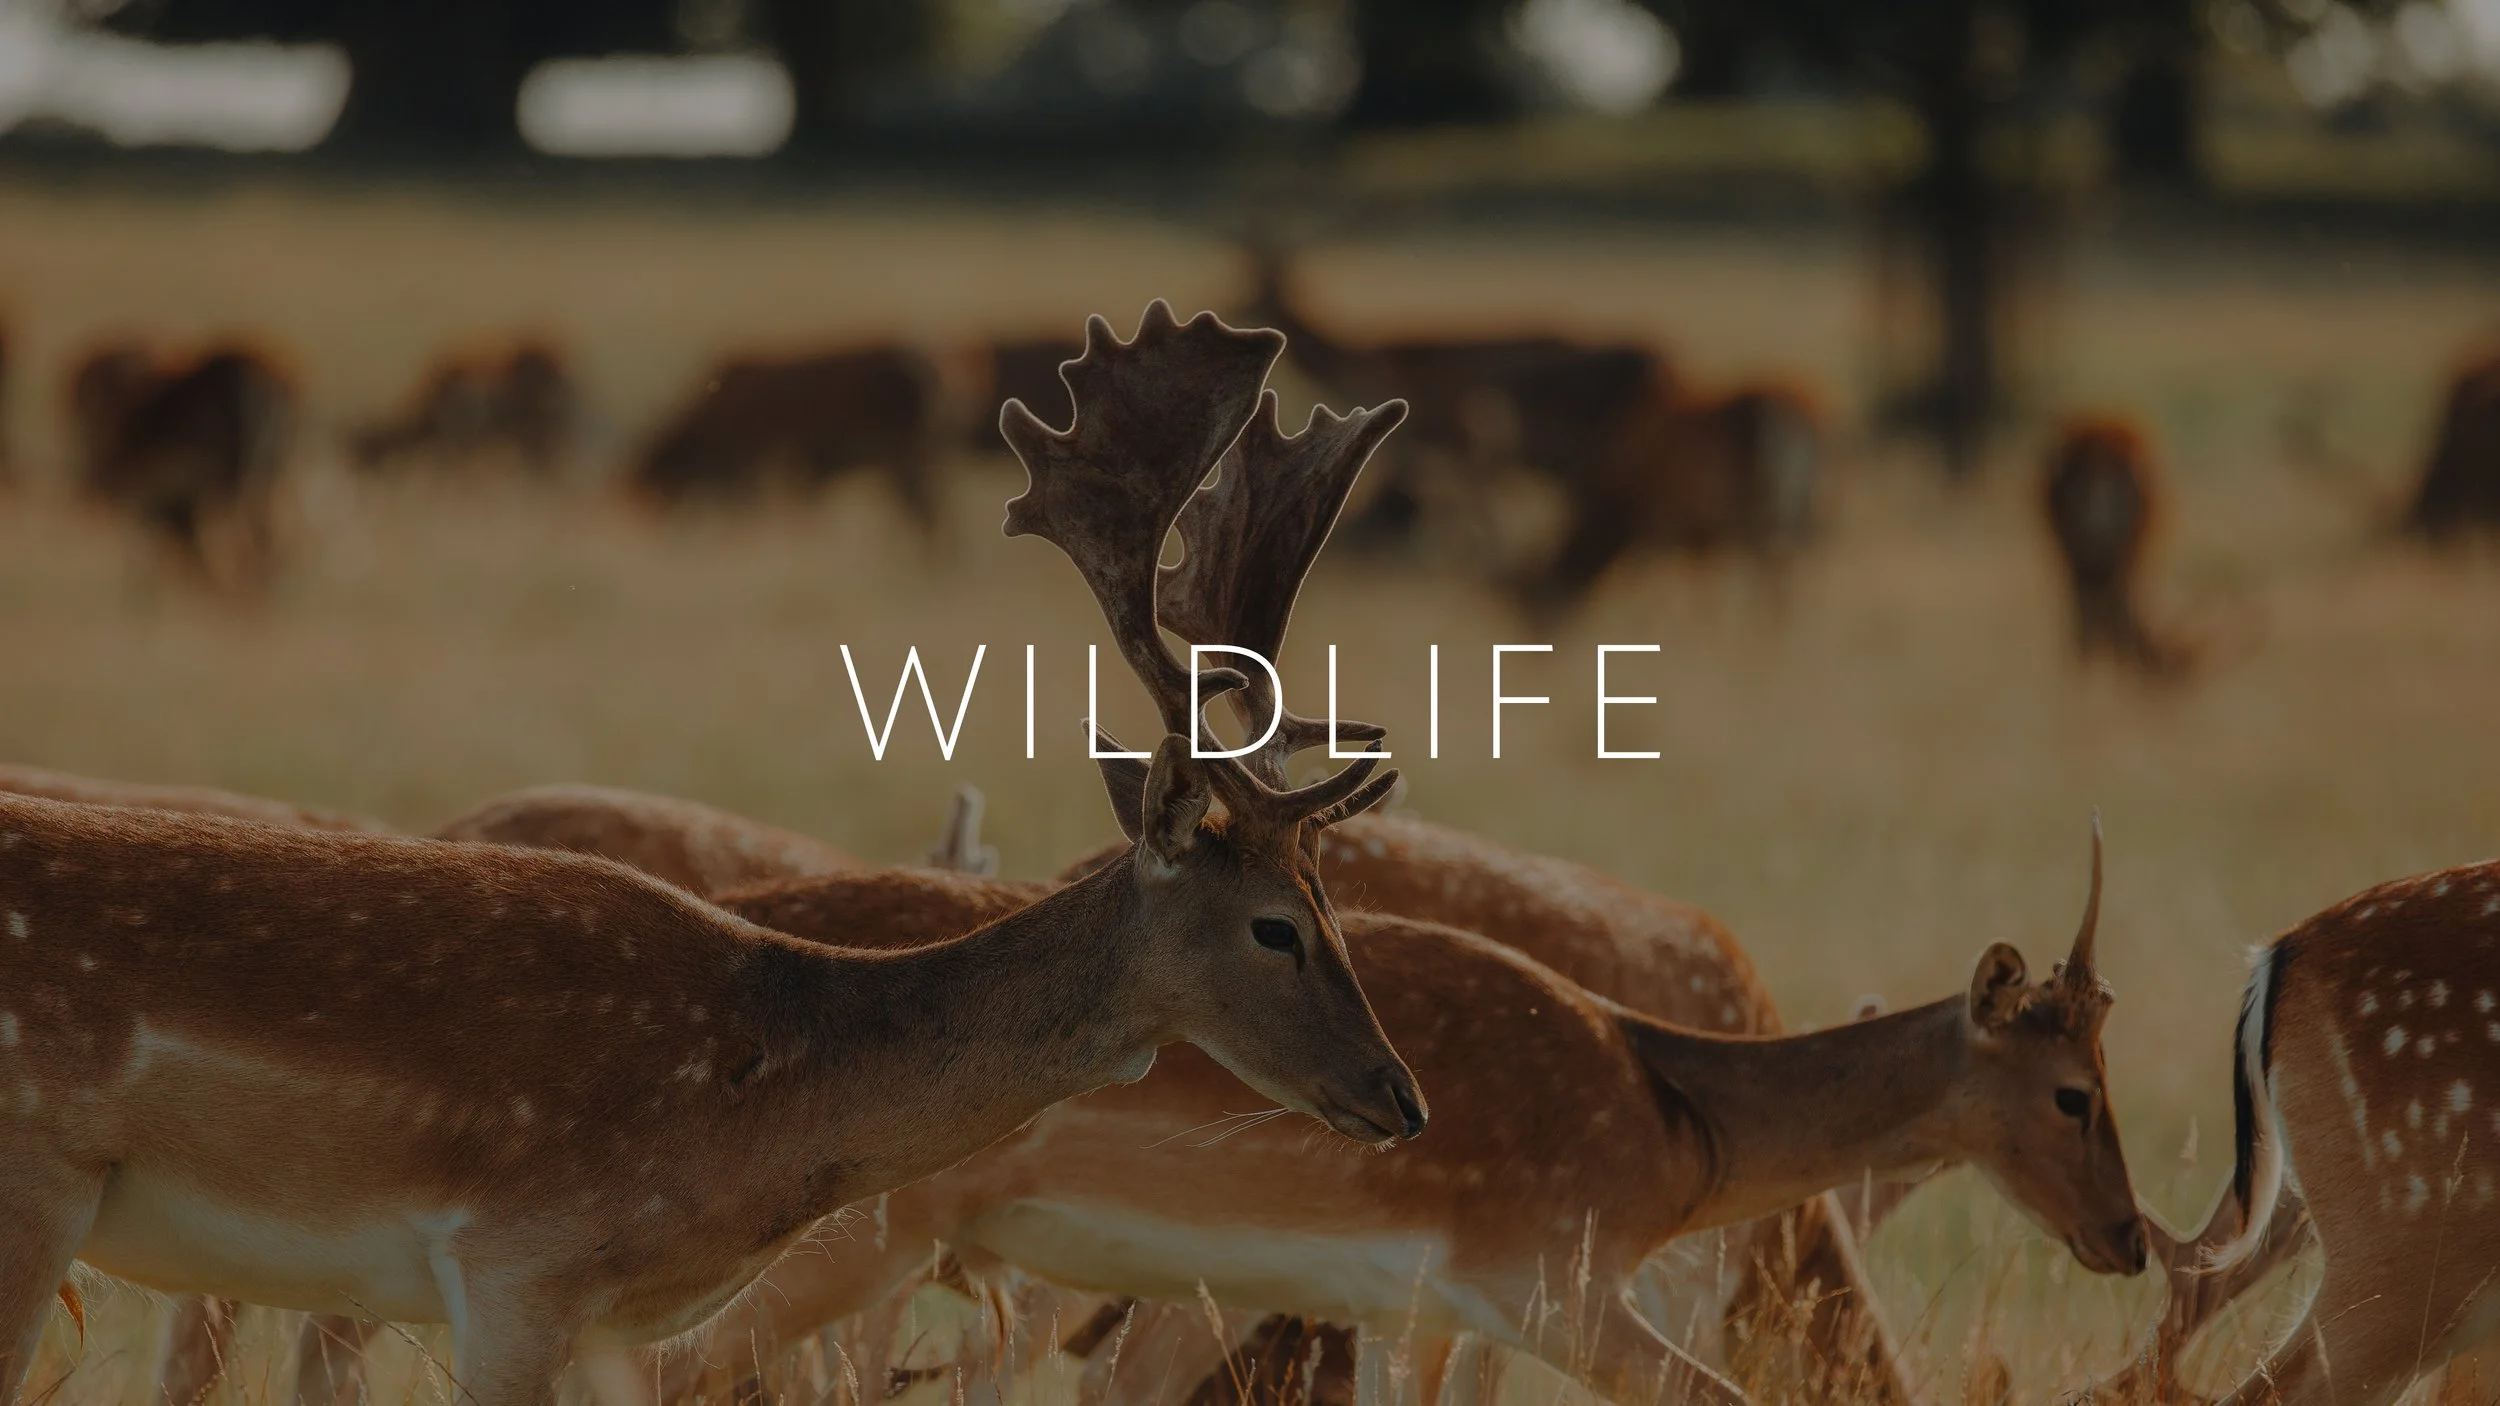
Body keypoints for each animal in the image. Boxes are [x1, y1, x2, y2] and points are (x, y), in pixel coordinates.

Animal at [0, 302, 1425, 1406]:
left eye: (1332, 894)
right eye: (1274, 921)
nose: (1399, 1094)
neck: (754, 1106)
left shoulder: (609, 1321)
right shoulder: (519, 1263)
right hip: (33, 1199)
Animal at [660, 818, 2144, 1406]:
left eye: (2109, 1062)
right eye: (2072, 1089)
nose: (2128, 1235)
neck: (1674, 1118)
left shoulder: (1417, 1313)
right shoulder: (1556, 1286)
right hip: (850, 1246)